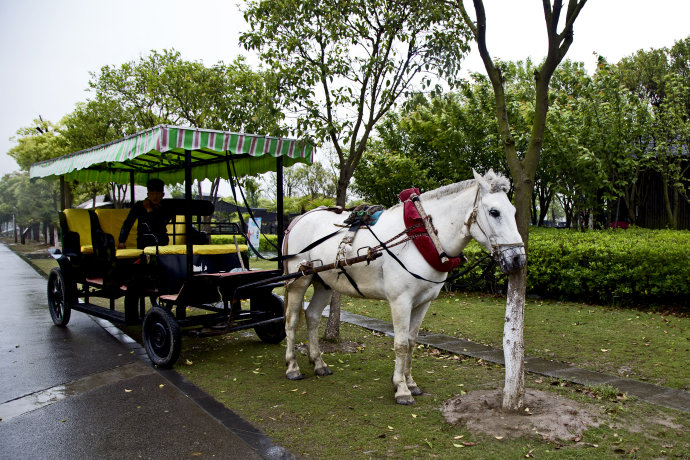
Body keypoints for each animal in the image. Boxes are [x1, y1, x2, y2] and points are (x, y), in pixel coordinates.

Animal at [280, 171, 520, 404]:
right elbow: (401, 344)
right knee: (291, 320)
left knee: (312, 316)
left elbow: (412, 342)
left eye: (514, 211)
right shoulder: (400, 301)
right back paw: (292, 367)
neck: (423, 234)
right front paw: (402, 389)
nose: (518, 258)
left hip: (323, 282)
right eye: (494, 212)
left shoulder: (423, 302)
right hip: (299, 280)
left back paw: (318, 363)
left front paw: (410, 382)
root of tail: (299, 219)